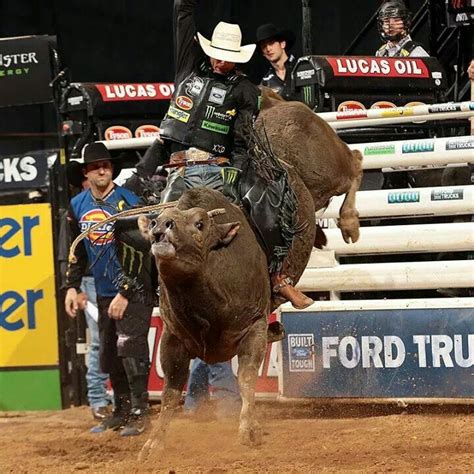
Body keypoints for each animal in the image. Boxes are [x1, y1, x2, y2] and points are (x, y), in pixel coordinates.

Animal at [135, 87, 364, 458]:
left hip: (327, 166)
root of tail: (273, 102)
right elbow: (170, 391)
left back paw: (349, 222)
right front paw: (154, 443)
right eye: (157, 221)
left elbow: (245, 379)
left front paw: (248, 430)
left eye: (200, 224)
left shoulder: (253, 327)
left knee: (355, 162)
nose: (161, 229)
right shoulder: (173, 338)